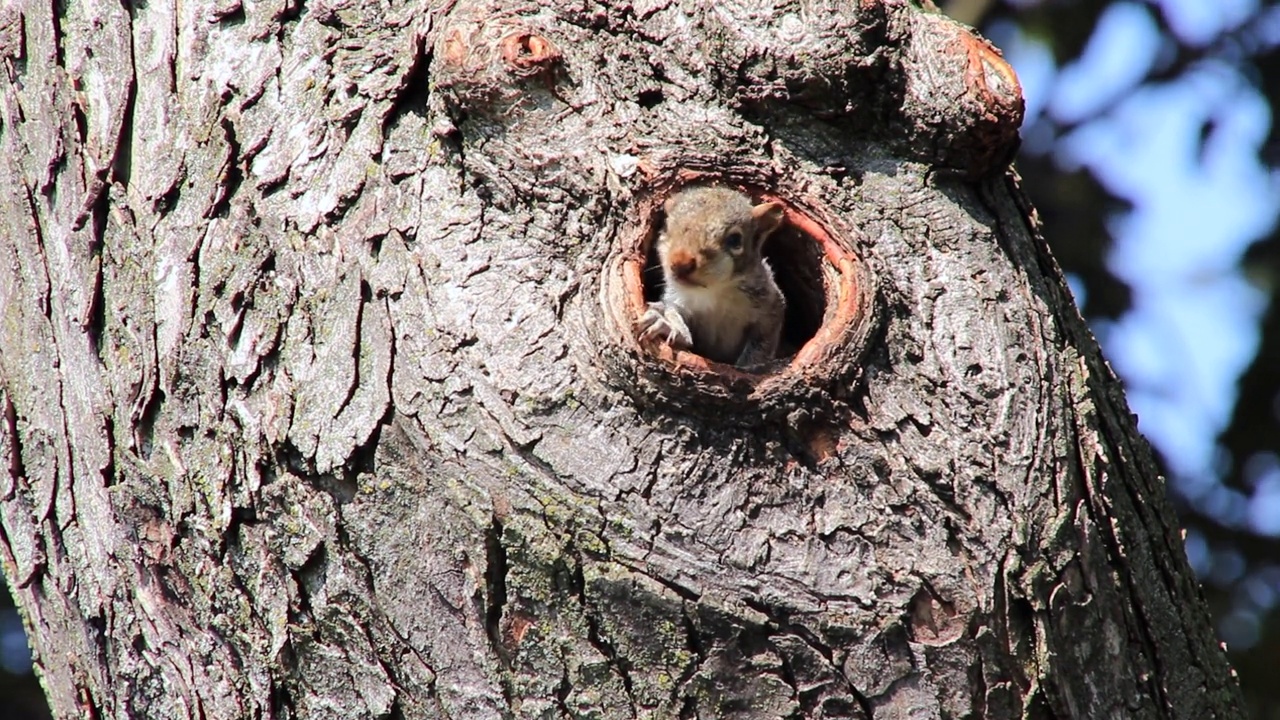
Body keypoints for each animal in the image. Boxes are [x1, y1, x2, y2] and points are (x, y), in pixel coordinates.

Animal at [634, 184, 783, 366]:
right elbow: (677, 318)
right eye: (667, 227)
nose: (680, 262)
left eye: (735, 239)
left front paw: (748, 364)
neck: (713, 292)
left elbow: (762, 343)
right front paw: (667, 324)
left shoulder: (769, 307)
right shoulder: (679, 301)